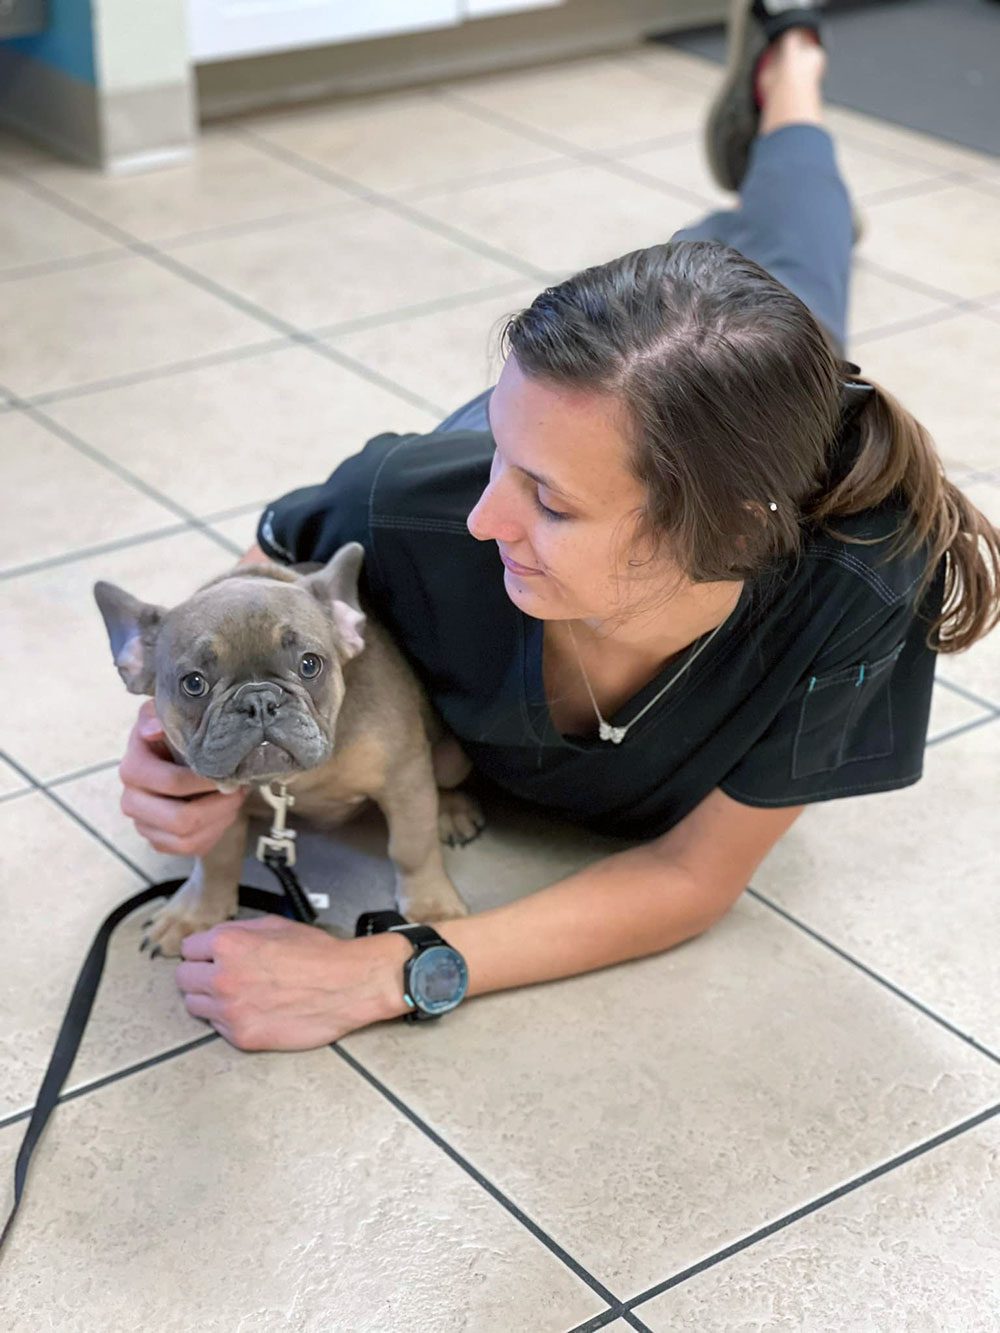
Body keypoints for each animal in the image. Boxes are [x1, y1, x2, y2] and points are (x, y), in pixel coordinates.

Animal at [96, 541, 482, 959]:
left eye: (310, 664)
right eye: (193, 684)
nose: (259, 699)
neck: (286, 780)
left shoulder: (405, 776)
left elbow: (412, 845)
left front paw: (432, 908)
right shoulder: (209, 804)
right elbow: (216, 856)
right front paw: (196, 912)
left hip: (450, 760)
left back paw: (452, 812)